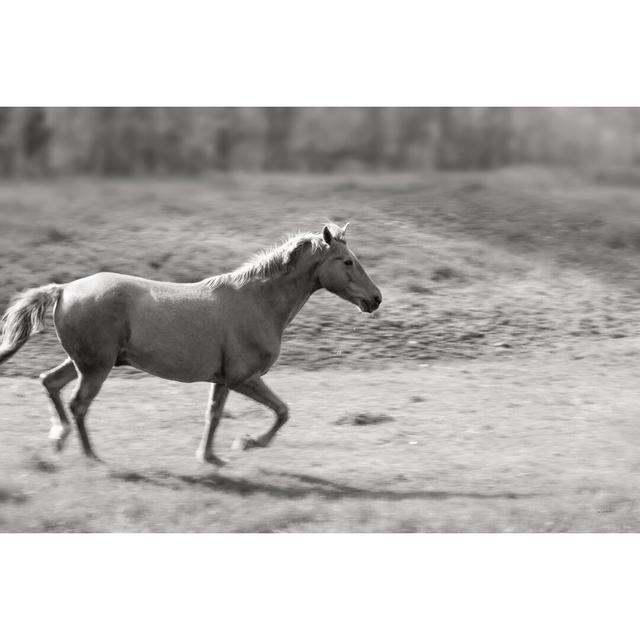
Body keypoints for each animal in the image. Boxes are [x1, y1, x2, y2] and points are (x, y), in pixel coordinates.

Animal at [0, 222, 380, 462]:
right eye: (347, 261)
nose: (375, 299)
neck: (257, 302)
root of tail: (64, 288)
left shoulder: (223, 379)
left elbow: (214, 415)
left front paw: (209, 457)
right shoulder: (243, 377)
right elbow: (282, 411)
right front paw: (246, 443)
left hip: (87, 362)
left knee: (50, 382)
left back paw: (58, 439)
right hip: (96, 368)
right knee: (78, 404)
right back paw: (91, 456)